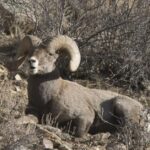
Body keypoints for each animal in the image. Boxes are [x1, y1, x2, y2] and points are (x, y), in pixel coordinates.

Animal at [15, 34, 143, 137]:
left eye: (50, 54)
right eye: (30, 52)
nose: (32, 61)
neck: (48, 97)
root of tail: (142, 109)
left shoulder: (84, 116)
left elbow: (78, 132)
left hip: (120, 105)